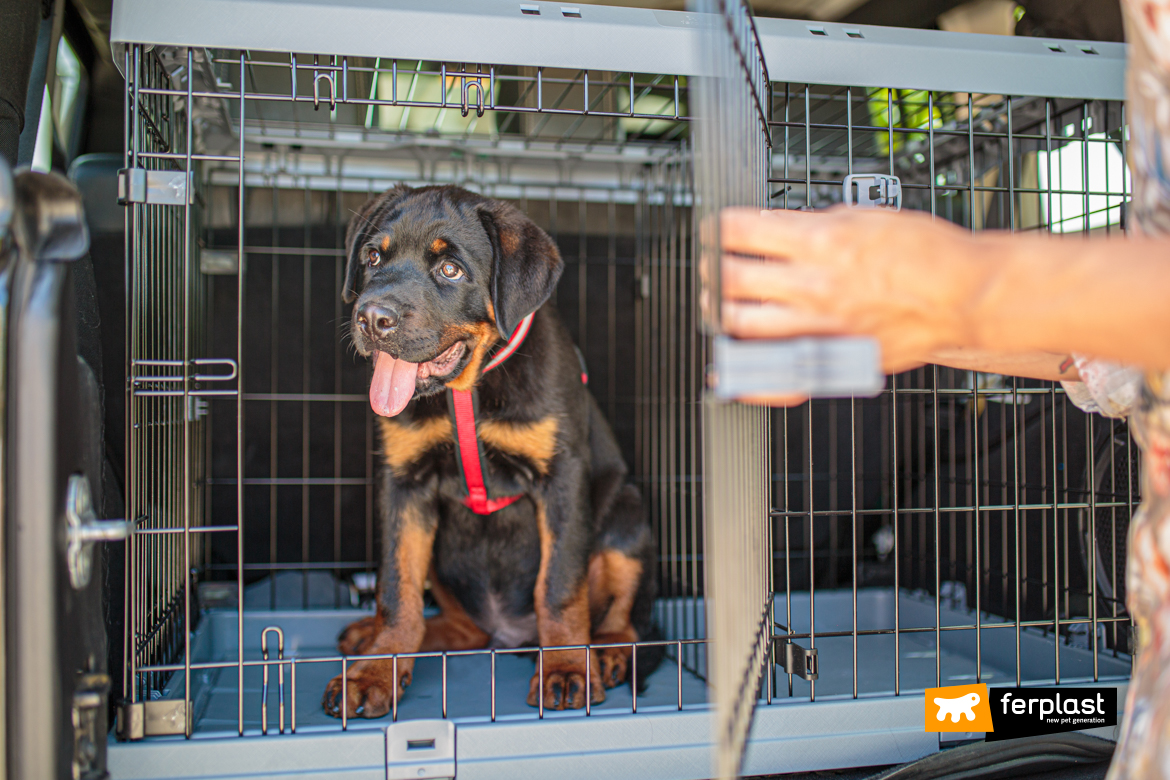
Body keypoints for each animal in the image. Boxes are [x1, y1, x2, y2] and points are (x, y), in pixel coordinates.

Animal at [322, 184, 659, 720]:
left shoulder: (561, 478)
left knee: (626, 619)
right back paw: (373, 637)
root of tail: (511, 635)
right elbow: (397, 591)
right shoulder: (404, 485)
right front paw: (376, 669)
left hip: (627, 517)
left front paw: (567, 668)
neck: (466, 390)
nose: (371, 319)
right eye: (373, 257)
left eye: (450, 270)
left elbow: (560, 588)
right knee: (462, 629)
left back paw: (605, 653)